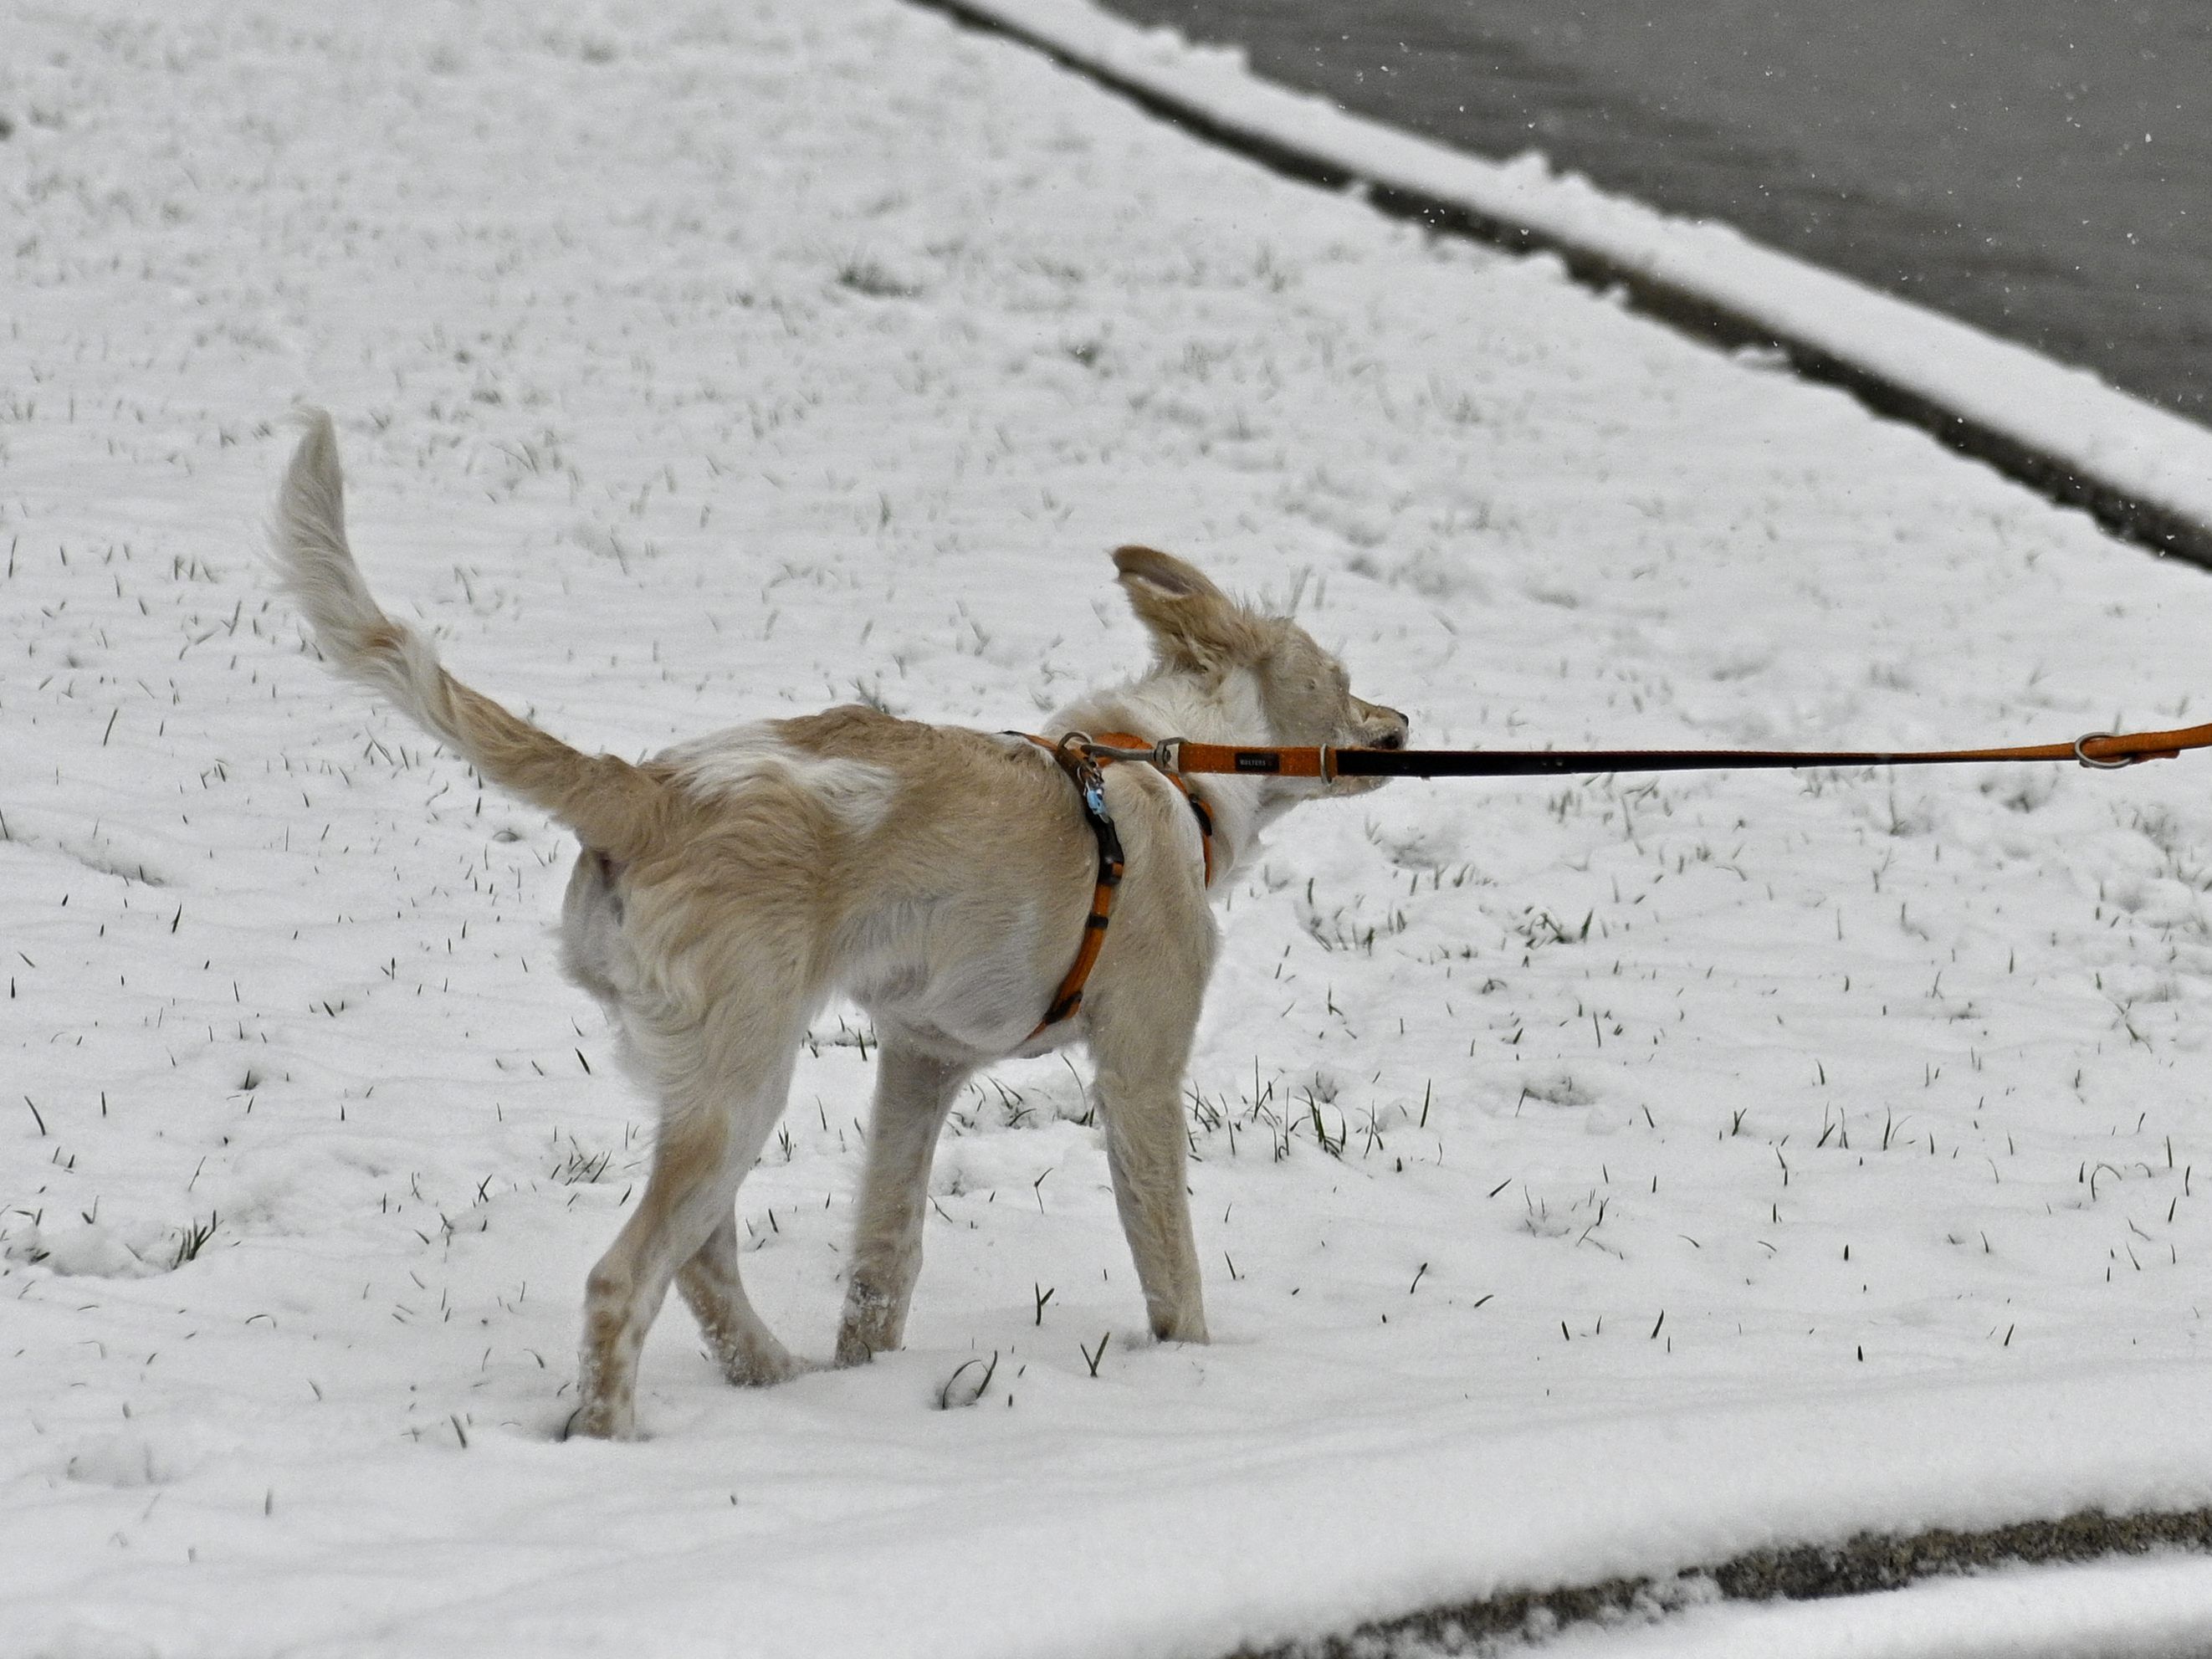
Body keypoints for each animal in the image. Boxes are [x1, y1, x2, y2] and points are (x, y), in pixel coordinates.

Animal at [276, 409, 1406, 1433]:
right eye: (1343, 683)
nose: (1401, 728)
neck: (1171, 769)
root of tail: (646, 792)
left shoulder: (920, 1057)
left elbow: (883, 1253)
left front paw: (871, 1371)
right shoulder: (1140, 1069)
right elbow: (1169, 1261)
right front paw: (1193, 1373)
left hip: (702, 1075)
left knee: (702, 1258)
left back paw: (779, 1381)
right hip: (742, 1080)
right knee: (625, 1279)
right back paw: (615, 1436)